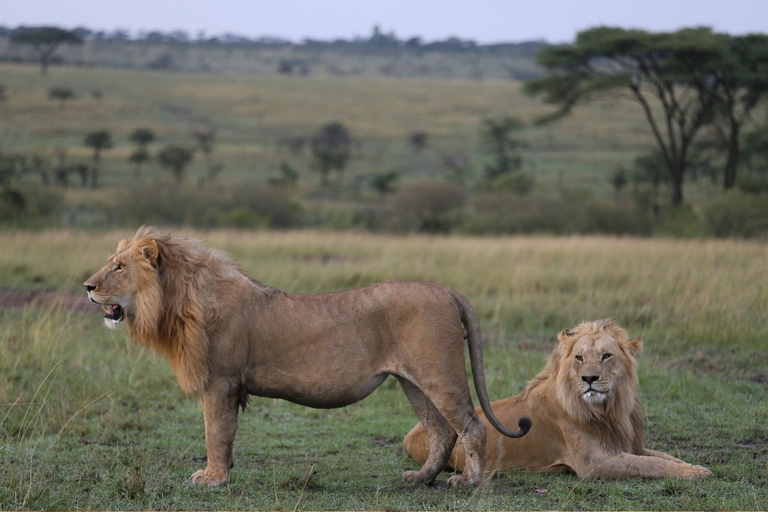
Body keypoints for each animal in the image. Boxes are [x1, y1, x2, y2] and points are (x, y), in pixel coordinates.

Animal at [84, 228, 528, 488]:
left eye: (118, 267)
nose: (87, 286)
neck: (179, 300)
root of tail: (445, 289)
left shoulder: (221, 381)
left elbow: (216, 433)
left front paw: (212, 479)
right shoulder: (227, 385)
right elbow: (225, 435)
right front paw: (223, 473)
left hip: (439, 373)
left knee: (471, 425)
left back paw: (468, 483)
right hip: (412, 380)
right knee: (440, 431)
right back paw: (419, 478)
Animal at [404, 320, 712, 480]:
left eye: (606, 356)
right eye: (579, 358)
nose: (590, 378)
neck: (609, 410)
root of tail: (409, 435)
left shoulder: (632, 446)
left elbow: (663, 458)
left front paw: (696, 467)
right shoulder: (594, 464)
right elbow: (650, 465)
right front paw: (698, 473)